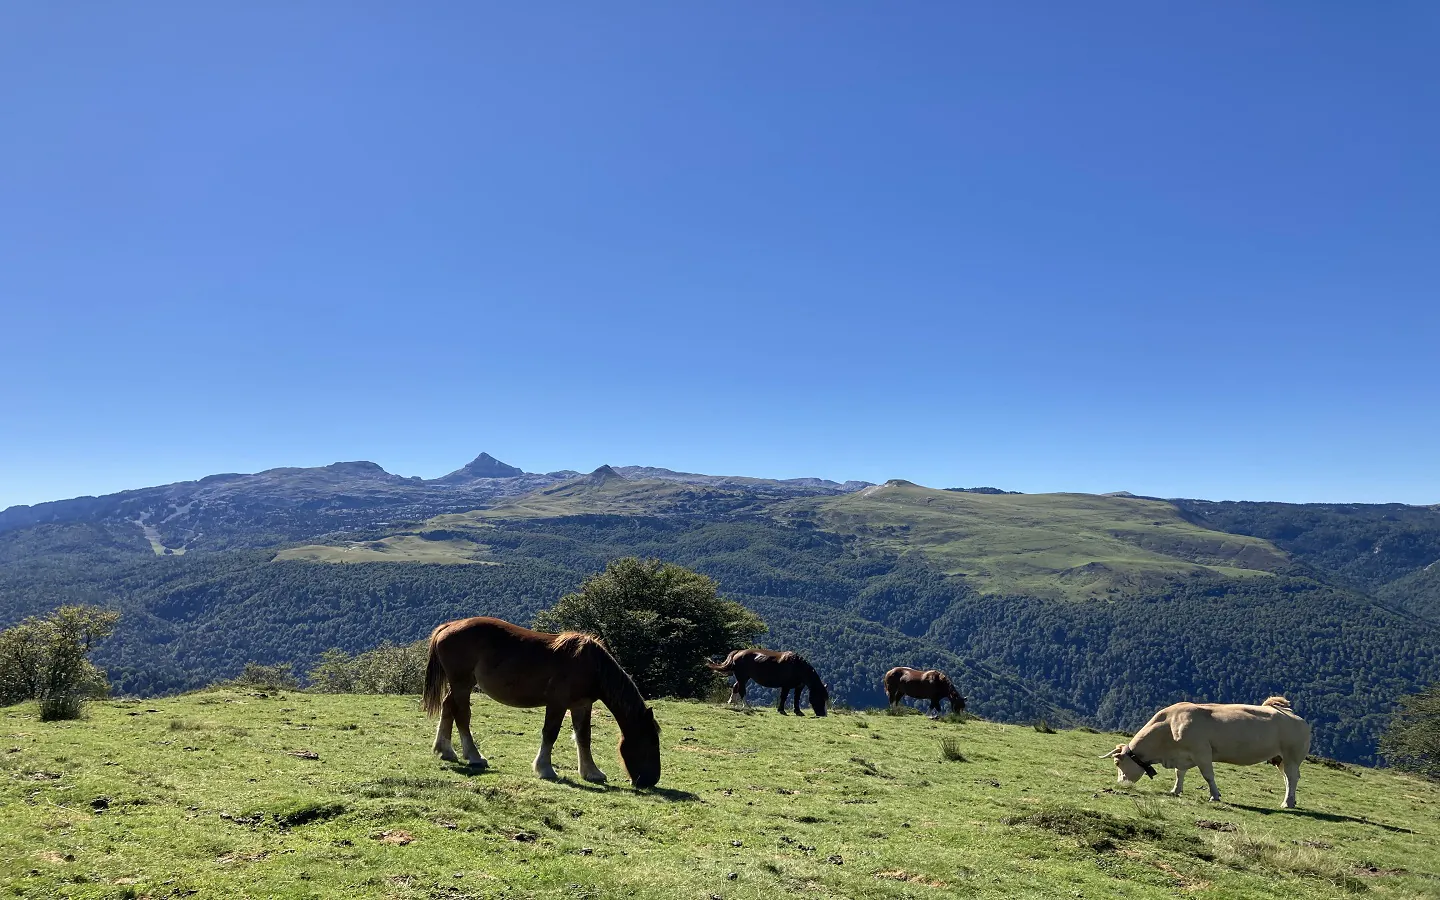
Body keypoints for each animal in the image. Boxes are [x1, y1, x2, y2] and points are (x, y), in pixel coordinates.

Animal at [420, 616, 659, 783]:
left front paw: (592, 772)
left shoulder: (582, 705)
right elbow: (550, 734)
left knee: (447, 707)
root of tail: (448, 626)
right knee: (462, 715)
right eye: (649, 743)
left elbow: (584, 737)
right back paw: (475, 756)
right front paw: (545, 769)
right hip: (462, 684)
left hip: (462, 684)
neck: (592, 666)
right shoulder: (557, 704)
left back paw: (445, 751)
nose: (651, 780)